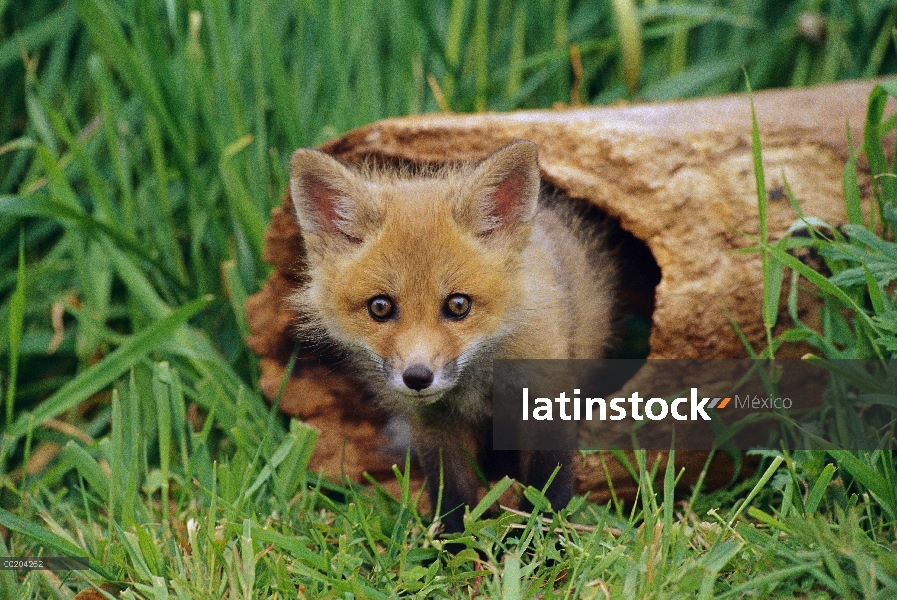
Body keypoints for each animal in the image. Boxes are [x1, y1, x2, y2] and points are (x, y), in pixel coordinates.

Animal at [288, 142, 616, 536]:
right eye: (380, 307)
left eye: (458, 305)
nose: (417, 377)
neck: (480, 382)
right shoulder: (434, 425)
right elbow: (452, 494)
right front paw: (453, 545)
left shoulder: (546, 397)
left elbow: (547, 489)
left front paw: (542, 543)